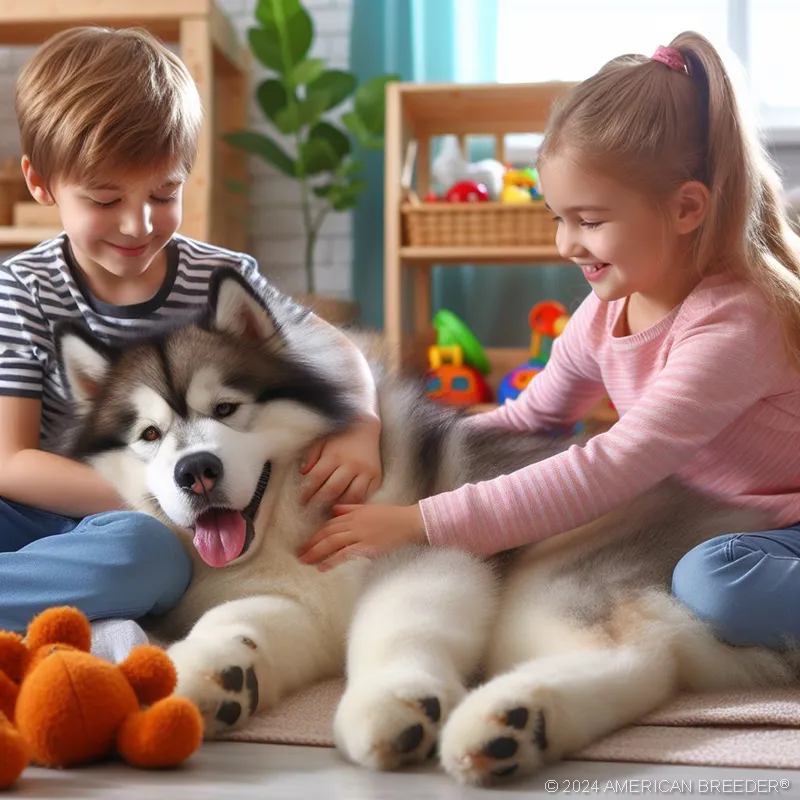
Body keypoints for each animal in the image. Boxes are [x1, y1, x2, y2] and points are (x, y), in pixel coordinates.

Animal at [53, 272, 796, 784]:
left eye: (227, 409)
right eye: (150, 435)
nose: (197, 472)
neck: (287, 522)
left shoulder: (429, 556)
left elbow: (395, 625)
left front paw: (394, 702)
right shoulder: (296, 604)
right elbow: (235, 619)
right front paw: (212, 672)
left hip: (554, 576)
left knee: (636, 659)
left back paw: (503, 715)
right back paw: (519, 730)